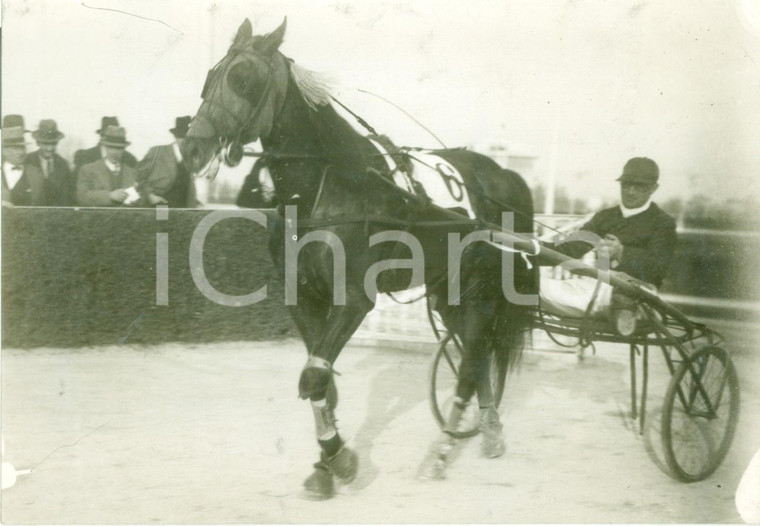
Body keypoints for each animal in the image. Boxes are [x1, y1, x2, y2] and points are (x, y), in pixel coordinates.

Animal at [183, 18, 540, 502]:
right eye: (211, 76)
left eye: (243, 78)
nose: (192, 148)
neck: (329, 184)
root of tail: (506, 176)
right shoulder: (304, 297)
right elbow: (323, 381)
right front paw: (325, 462)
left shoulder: (353, 299)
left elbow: (313, 378)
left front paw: (339, 459)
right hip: (449, 290)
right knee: (477, 353)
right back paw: (488, 429)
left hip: (483, 289)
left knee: (471, 362)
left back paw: (440, 454)